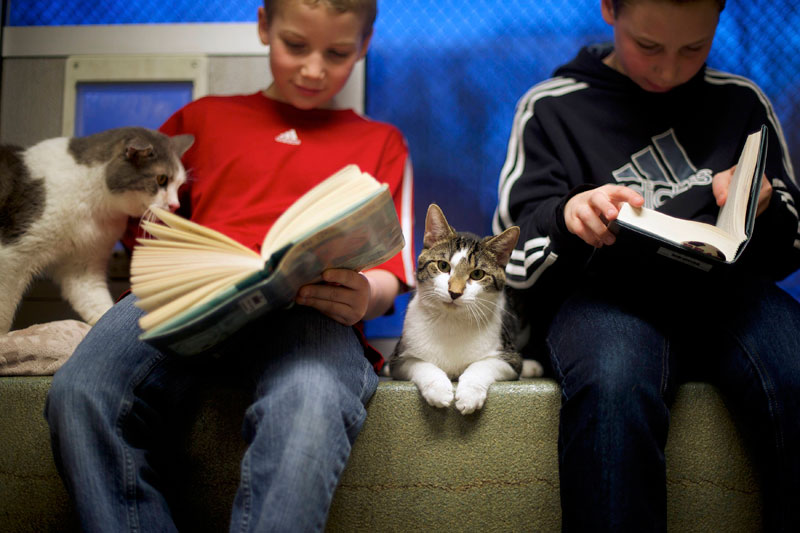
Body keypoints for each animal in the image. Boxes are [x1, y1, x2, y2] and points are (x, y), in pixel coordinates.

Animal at [0, 125, 193, 332]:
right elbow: (4, 306)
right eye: (162, 179)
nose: (175, 205)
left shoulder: (83, 267)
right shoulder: (14, 256)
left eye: (179, 185)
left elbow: (99, 305)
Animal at [390, 202, 544, 414]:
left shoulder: (509, 359)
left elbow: (484, 364)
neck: (452, 321)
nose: (454, 292)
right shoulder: (398, 359)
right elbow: (420, 363)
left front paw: (470, 393)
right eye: (443, 265)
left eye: (477, 274)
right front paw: (438, 389)